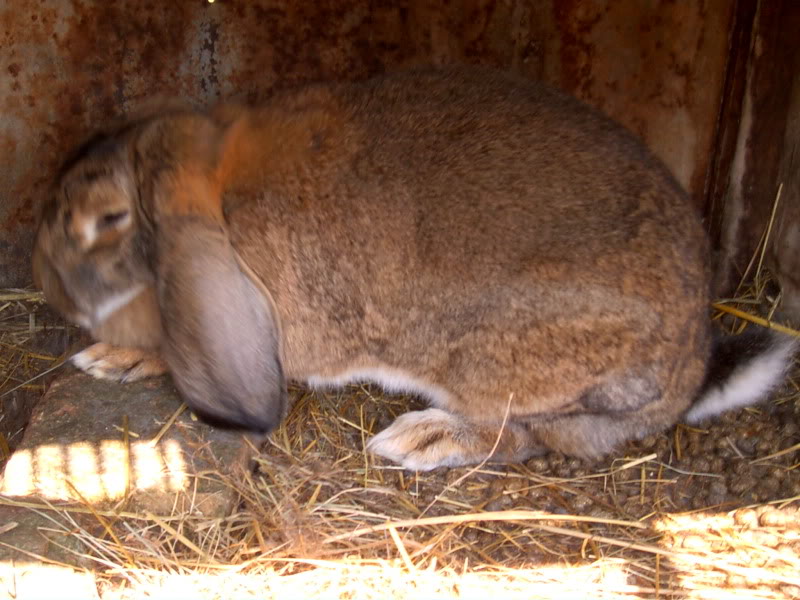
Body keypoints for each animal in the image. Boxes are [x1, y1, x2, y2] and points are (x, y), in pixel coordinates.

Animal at [31, 64, 792, 468]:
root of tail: (690, 371)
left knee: (527, 435)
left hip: (503, 362)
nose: (42, 275)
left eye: (107, 218)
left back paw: (422, 437)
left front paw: (117, 357)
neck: (217, 185)